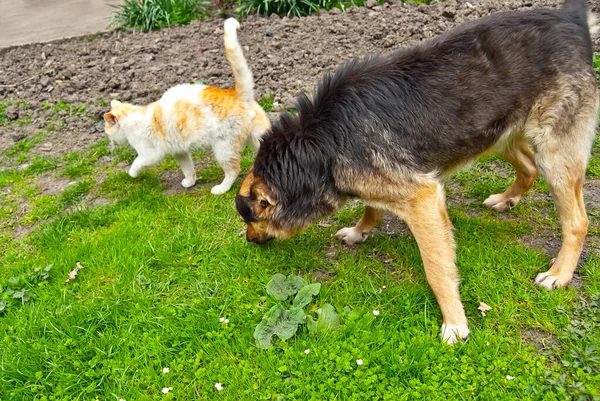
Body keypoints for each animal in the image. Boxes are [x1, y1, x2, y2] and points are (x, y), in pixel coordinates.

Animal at [104, 18, 270, 194]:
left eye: (107, 132)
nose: (110, 142)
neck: (132, 117)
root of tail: (235, 93)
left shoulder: (150, 154)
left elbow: (137, 163)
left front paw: (131, 173)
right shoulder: (180, 151)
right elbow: (187, 168)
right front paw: (190, 181)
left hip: (223, 147)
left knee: (233, 170)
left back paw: (221, 189)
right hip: (257, 137)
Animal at [234, 0, 600, 344]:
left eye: (250, 219)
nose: (249, 242)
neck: (320, 141)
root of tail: (569, 18)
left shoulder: (423, 200)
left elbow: (437, 269)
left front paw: (455, 322)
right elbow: (372, 207)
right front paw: (360, 231)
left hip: (555, 157)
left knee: (576, 220)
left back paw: (560, 273)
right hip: (496, 133)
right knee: (527, 166)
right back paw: (506, 200)